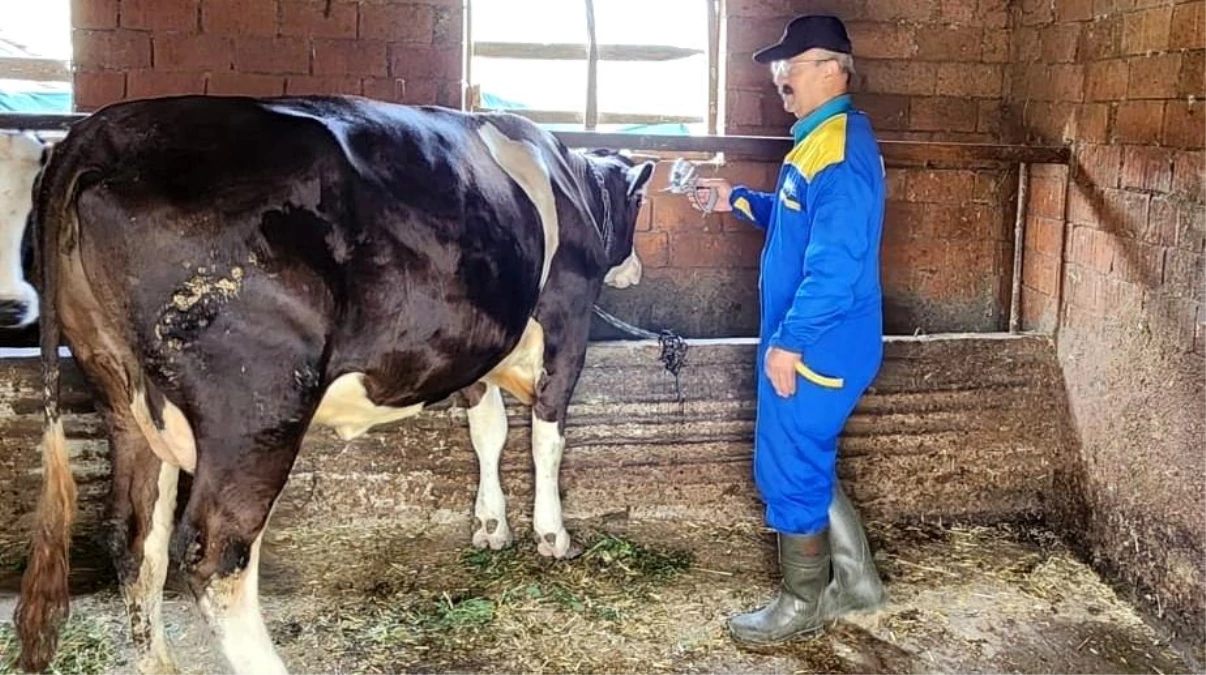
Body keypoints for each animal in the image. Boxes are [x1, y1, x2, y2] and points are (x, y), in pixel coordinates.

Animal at [7, 96, 651, 675]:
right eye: (637, 205)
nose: (635, 269)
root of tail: (99, 134)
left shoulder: (473, 349)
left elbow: (486, 432)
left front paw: (491, 526)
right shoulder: (567, 319)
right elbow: (548, 434)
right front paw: (552, 534)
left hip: (121, 395)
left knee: (135, 536)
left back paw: (158, 662)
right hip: (257, 406)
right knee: (215, 552)